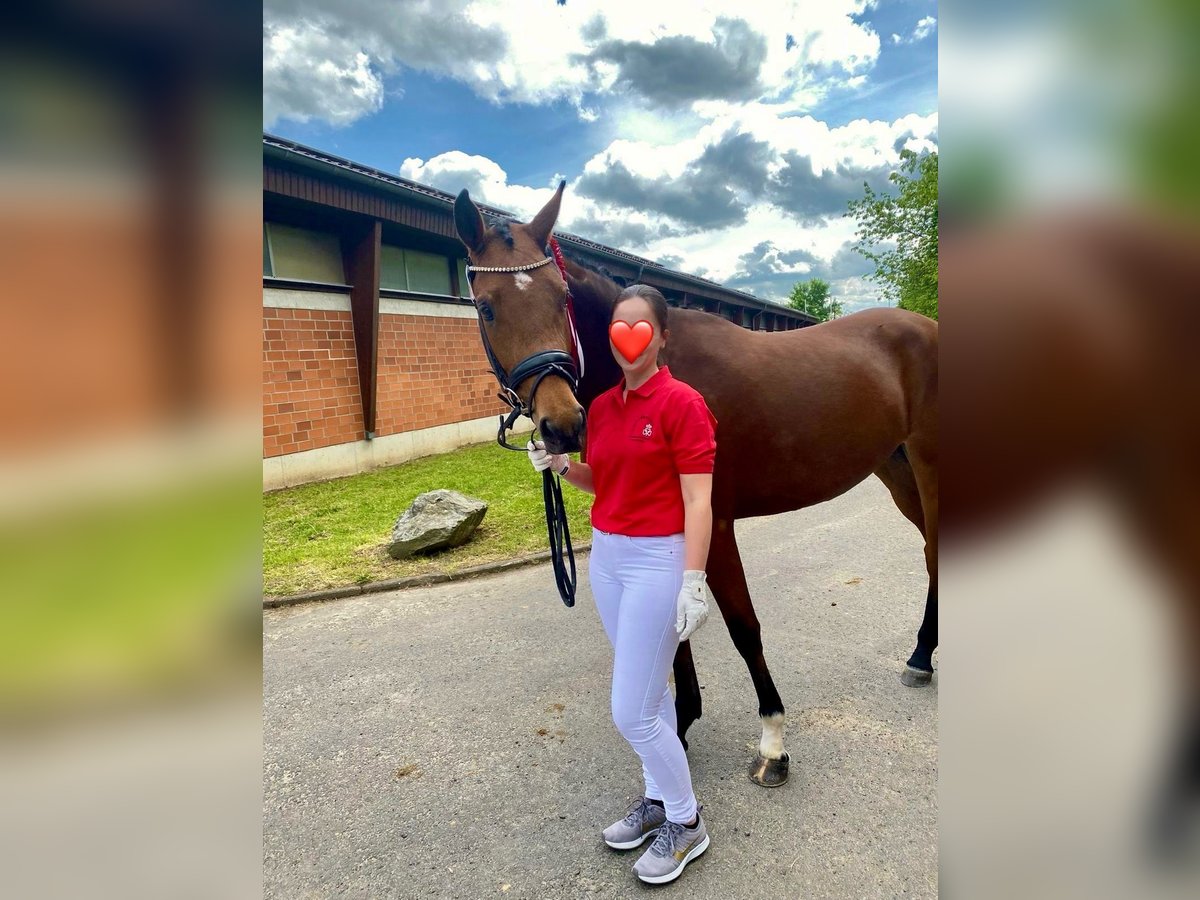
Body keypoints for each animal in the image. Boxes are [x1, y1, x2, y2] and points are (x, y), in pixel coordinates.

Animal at [451, 184, 936, 787]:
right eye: (486, 306)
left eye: (561, 299)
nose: (562, 425)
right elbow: (671, 632)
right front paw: (678, 729)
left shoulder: (715, 523)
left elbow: (742, 627)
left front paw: (772, 743)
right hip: (897, 470)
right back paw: (921, 655)